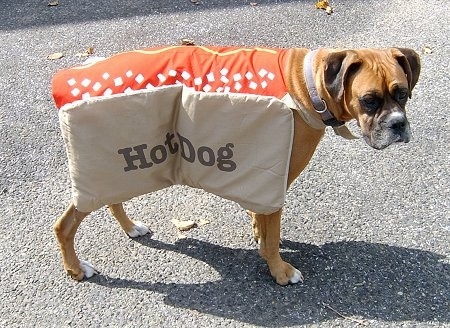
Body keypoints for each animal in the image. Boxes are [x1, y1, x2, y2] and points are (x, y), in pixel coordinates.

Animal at [52, 45, 422, 284]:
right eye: (369, 100)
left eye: (402, 93)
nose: (398, 124)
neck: (308, 85)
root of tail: (78, 73)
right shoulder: (276, 181)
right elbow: (272, 236)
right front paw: (279, 271)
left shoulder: (264, 182)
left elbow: (261, 219)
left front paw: (259, 235)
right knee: (65, 225)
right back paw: (75, 268)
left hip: (115, 167)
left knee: (112, 198)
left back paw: (130, 228)